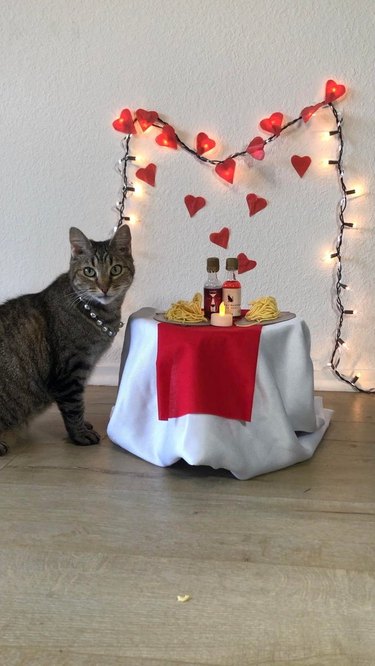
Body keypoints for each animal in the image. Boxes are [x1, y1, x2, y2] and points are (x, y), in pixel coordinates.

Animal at [0, 223, 134, 452]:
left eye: (116, 269)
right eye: (89, 271)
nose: (104, 287)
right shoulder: (70, 371)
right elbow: (74, 406)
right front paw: (80, 434)